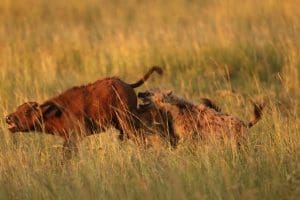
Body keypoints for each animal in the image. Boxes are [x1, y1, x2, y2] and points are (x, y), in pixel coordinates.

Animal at [4, 65, 163, 156]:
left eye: (26, 111)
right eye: (18, 108)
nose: (8, 118)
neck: (56, 111)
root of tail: (127, 84)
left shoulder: (73, 138)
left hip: (127, 122)